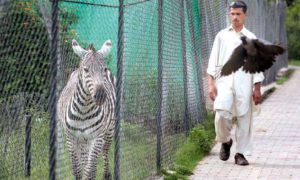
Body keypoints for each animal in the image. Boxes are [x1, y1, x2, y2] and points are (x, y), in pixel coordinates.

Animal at [57, 39, 116, 180]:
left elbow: (89, 170)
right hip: (82, 140)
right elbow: (78, 170)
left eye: (104, 69)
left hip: (109, 130)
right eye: (86, 70)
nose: (100, 96)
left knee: (104, 153)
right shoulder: (71, 138)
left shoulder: (97, 138)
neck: (84, 110)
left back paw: (107, 174)